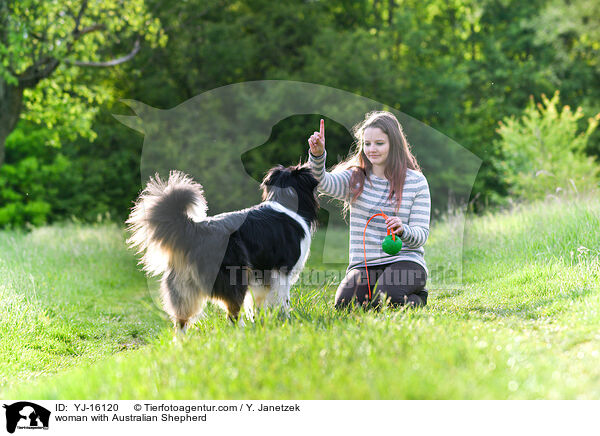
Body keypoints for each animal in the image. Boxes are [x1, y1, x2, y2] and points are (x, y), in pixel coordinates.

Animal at [124, 164, 316, 334]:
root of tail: (195, 230)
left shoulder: (261, 276)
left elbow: (260, 304)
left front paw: (264, 322)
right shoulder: (281, 271)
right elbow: (281, 300)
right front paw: (285, 322)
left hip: (183, 286)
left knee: (181, 321)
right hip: (235, 277)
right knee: (232, 313)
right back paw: (242, 334)